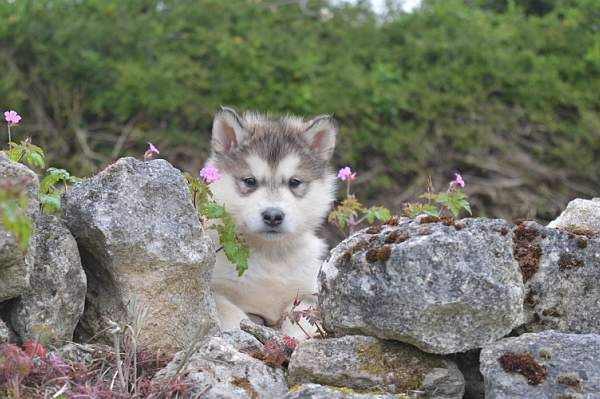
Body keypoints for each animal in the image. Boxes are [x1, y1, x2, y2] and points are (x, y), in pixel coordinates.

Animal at [206, 108, 338, 340]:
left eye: (294, 182)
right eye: (250, 181)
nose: (273, 216)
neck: (269, 256)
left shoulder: (308, 294)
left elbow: (298, 321)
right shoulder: (216, 288)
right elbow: (232, 315)